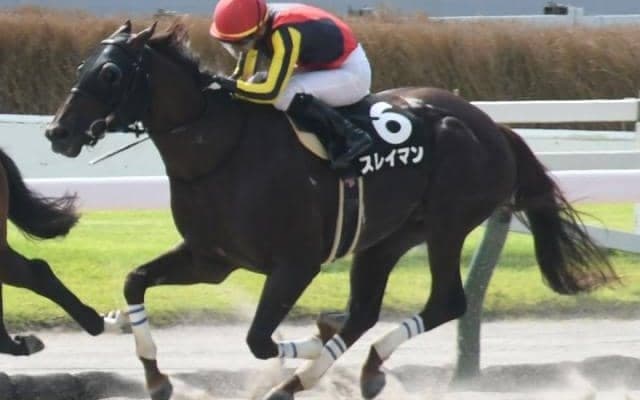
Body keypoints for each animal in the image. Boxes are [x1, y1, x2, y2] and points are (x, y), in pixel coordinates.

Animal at [44, 21, 618, 400]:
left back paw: (331, 371)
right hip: (388, 236)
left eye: (110, 72)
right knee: (365, 309)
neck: (222, 150)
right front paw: (156, 377)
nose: (58, 132)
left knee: (447, 302)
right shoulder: (212, 259)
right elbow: (136, 281)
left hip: (448, 223)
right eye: (80, 65)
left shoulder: (295, 263)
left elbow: (259, 340)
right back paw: (350, 369)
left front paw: (313, 343)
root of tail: (491, 125)